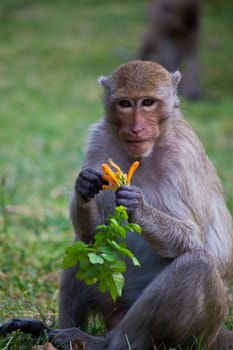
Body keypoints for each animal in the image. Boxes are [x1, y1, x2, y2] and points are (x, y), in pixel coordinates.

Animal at [0, 60, 233, 350]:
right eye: (125, 103)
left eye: (147, 102)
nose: (136, 128)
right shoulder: (99, 140)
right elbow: (93, 235)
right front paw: (84, 186)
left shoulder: (184, 156)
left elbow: (196, 240)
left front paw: (138, 207)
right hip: (109, 295)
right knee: (83, 245)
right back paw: (52, 332)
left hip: (196, 334)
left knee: (198, 265)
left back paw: (104, 344)